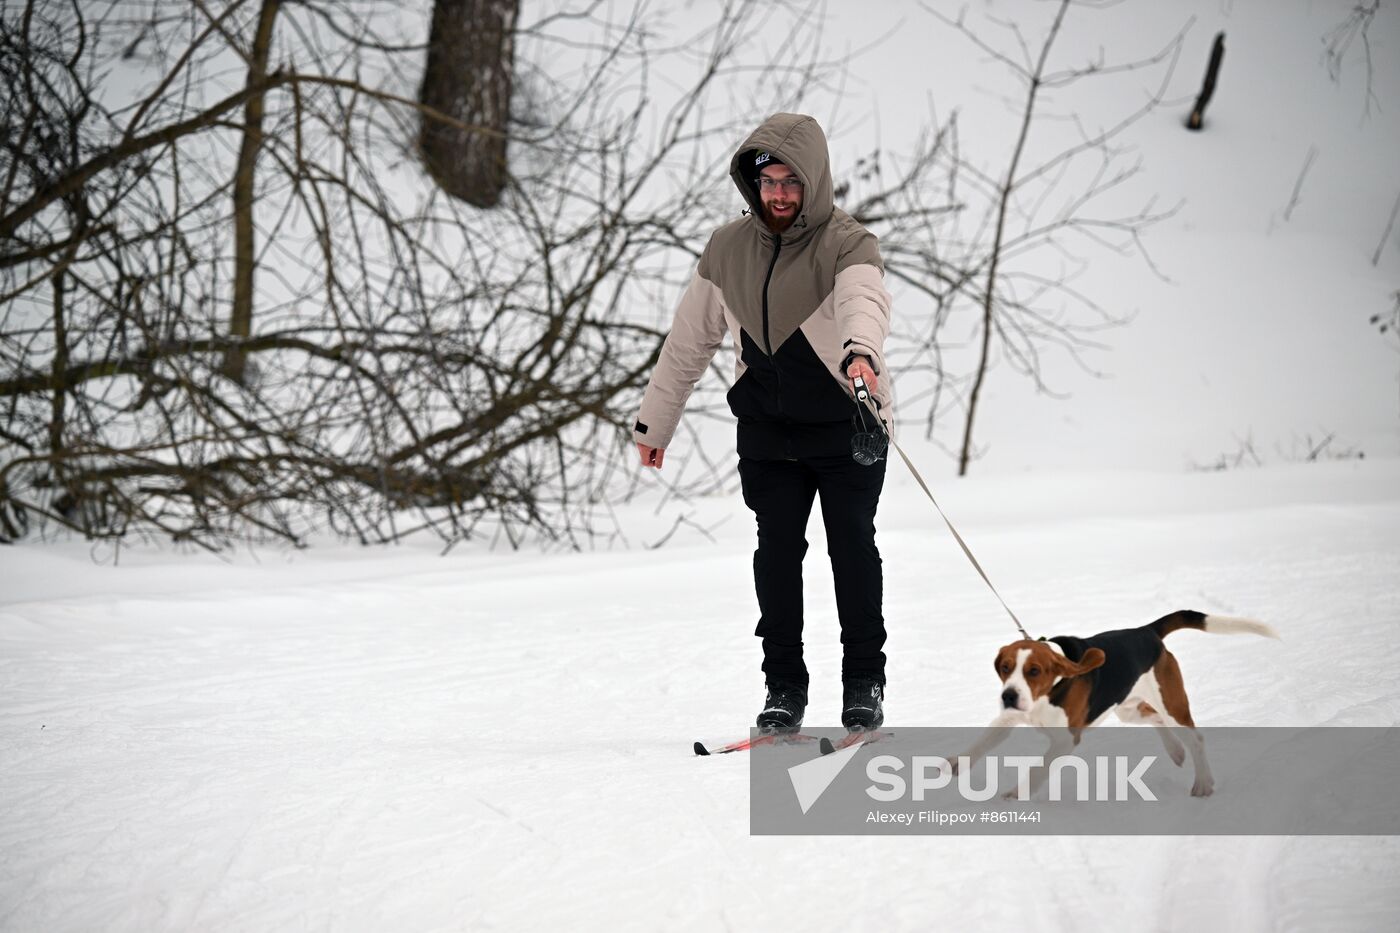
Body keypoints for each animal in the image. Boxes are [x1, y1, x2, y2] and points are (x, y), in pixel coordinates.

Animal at [957, 607, 1276, 795]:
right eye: (1005, 667)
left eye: (1034, 671)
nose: (1008, 695)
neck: (1049, 690)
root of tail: (1147, 631)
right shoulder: (1008, 718)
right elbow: (979, 745)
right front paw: (952, 767)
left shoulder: (1065, 740)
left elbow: (1038, 769)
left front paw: (1014, 796)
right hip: (1128, 709)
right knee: (1154, 717)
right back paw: (1175, 752)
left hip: (1171, 703)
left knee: (1195, 738)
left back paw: (1203, 784)